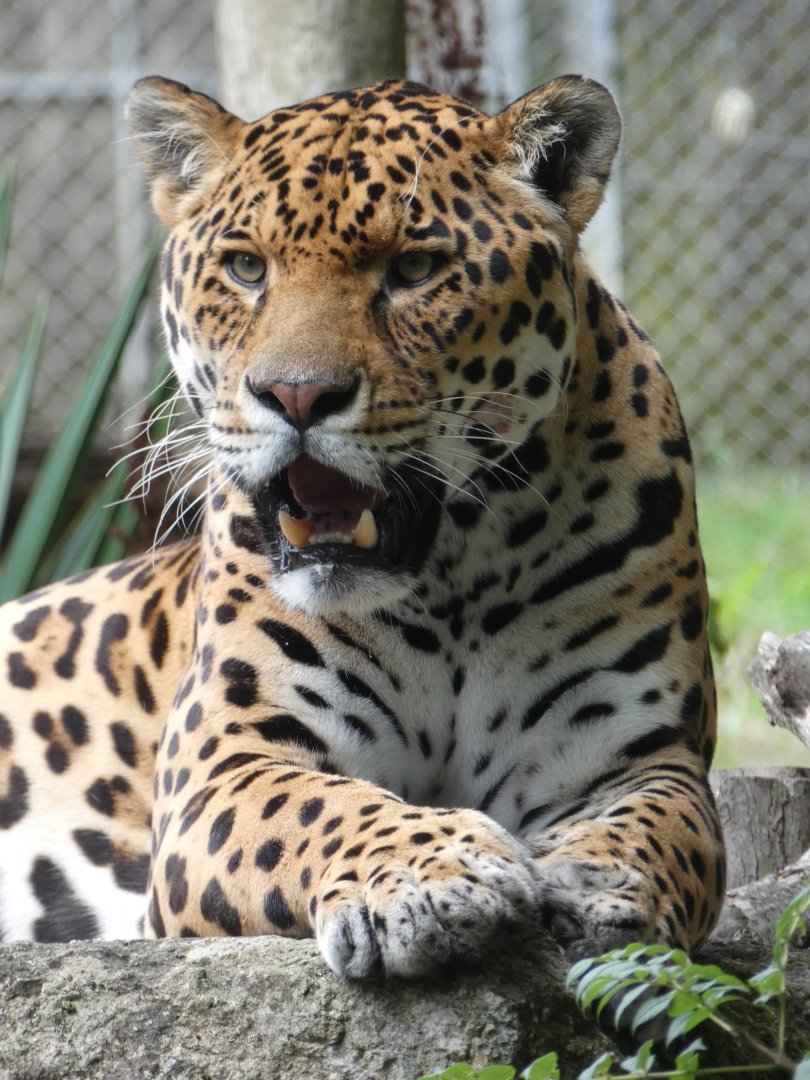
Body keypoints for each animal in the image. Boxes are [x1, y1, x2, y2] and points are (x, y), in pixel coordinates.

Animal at [0, 74, 724, 977]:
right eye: (246, 267)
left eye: (413, 268)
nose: (297, 395)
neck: (456, 584)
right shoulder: (227, 760)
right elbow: (317, 806)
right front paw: (433, 876)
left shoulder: (646, 756)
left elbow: (670, 835)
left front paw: (599, 885)